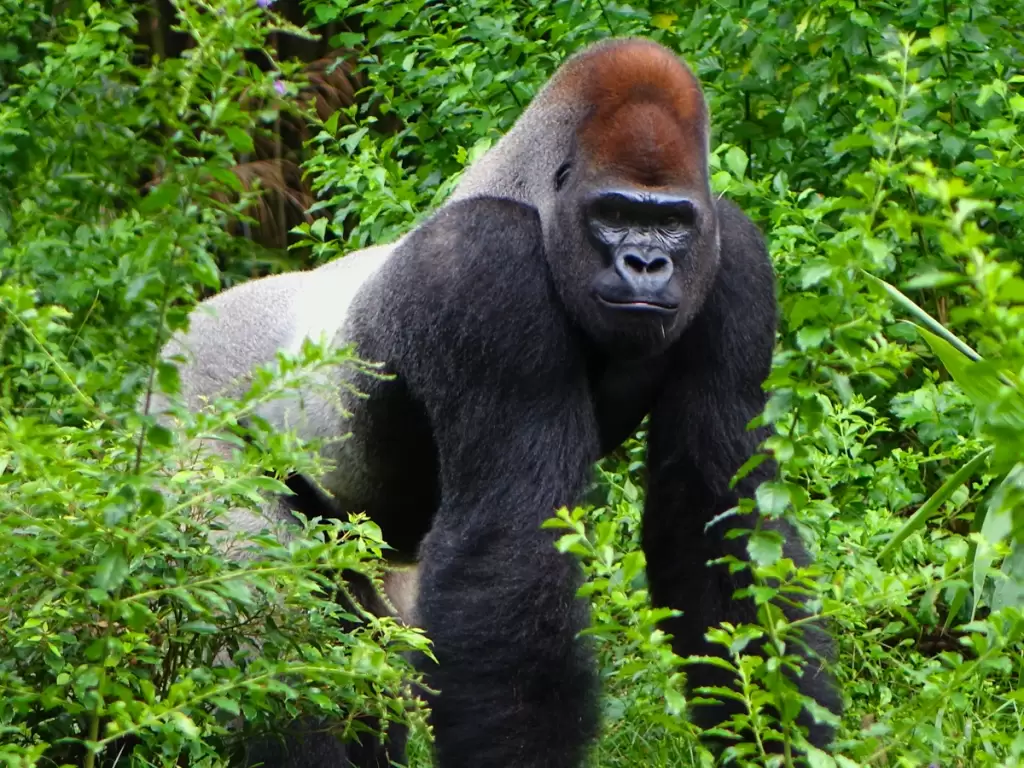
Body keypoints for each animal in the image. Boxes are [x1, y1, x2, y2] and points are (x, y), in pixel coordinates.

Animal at [153, 39, 839, 768]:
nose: (645, 264)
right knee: (268, 622)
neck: (531, 196)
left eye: (671, 222)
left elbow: (720, 515)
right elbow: (511, 544)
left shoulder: (736, 258)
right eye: (615, 214)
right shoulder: (486, 263)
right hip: (186, 418)